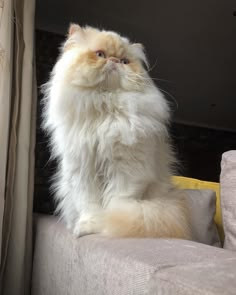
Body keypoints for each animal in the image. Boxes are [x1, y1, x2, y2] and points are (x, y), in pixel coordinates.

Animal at [42, 23, 190, 240]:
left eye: (125, 61)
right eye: (100, 54)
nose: (113, 61)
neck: (105, 108)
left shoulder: (126, 169)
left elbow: (116, 202)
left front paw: (110, 224)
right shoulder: (82, 171)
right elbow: (89, 205)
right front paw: (87, 228)